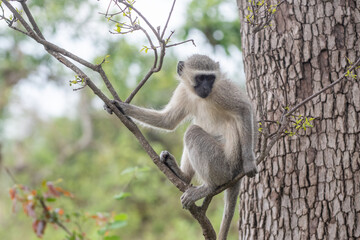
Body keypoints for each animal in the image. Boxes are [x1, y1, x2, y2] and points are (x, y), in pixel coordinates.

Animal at [105, 54, 258, 240]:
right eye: (201, 78)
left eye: (210, 78)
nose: (206, 87)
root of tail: (236, 173)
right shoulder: (182, 91)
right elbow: (168, 121)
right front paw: (120, 106)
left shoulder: (223, 90)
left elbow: (245, 109)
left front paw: (250, 163)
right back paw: (182, 175)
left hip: (223, 166)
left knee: (192, 132)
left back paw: (209, 186)